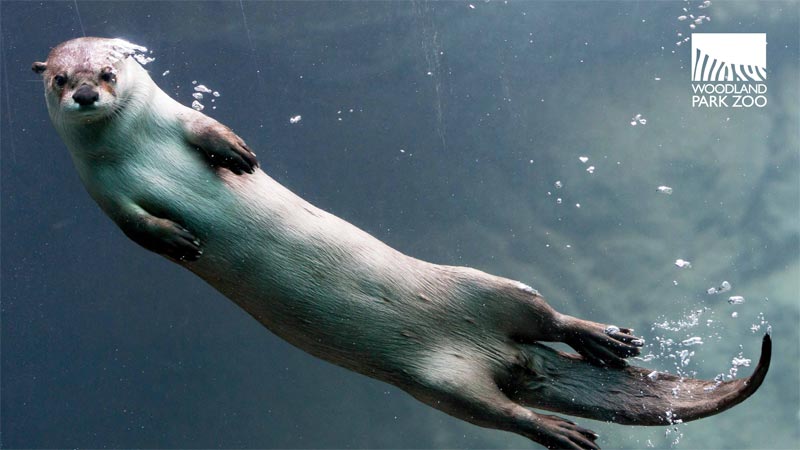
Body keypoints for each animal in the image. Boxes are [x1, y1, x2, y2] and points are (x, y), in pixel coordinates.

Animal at [33, 37, 770, 449]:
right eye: (60, 79)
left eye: (107, 70)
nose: (87, 95)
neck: (134, 147)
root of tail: (503, 356)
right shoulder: (100, 192)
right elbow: (136, 227)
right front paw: (180, 238)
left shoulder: (176, 119)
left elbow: (209, 130)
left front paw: (236, 157)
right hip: (440, 387)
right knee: (503, 413)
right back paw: (559, 429)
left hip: (482, 287)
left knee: (541, 313)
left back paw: (600, 340)